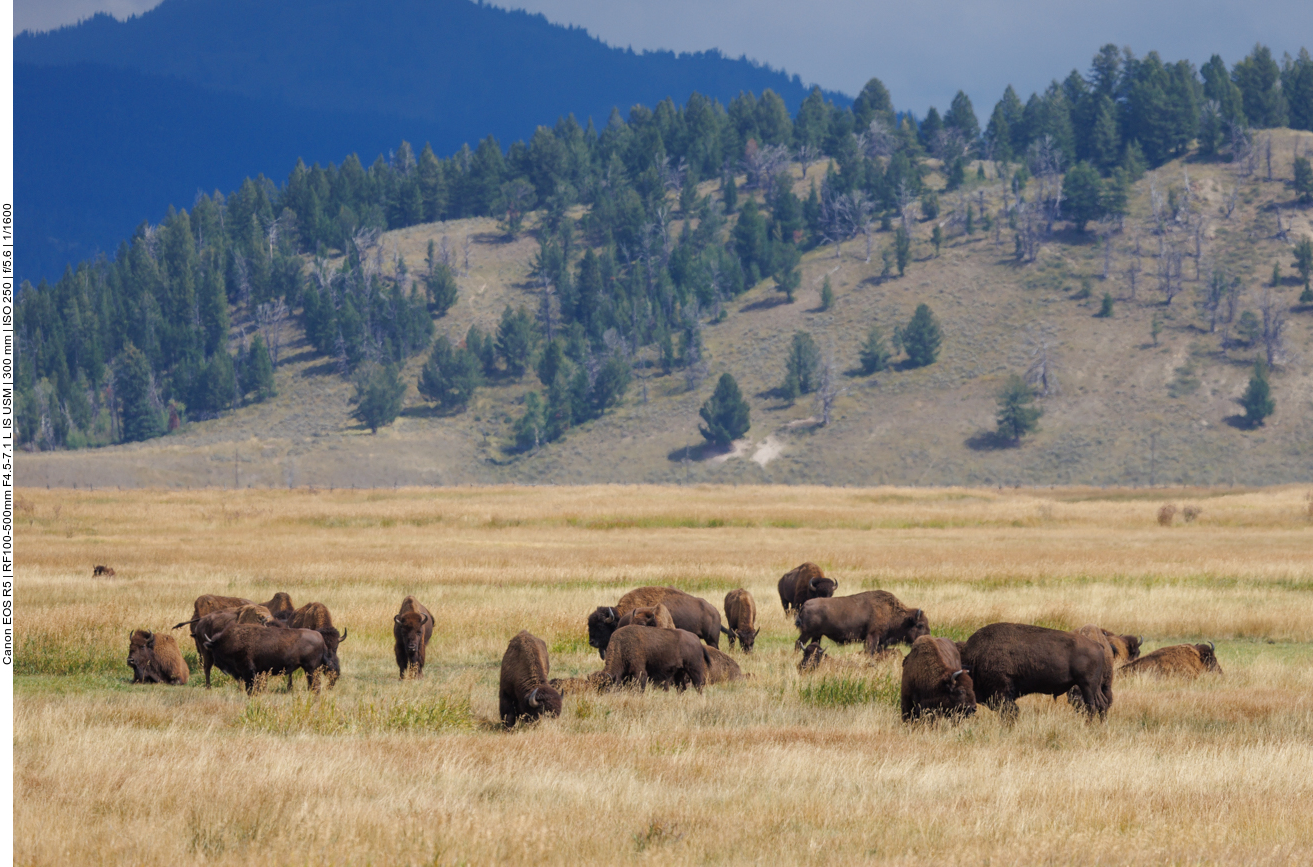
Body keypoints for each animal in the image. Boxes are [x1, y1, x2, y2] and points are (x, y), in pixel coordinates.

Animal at [203, 625, 336, 693]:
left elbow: (250, 687)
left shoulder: (248, 671)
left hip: (311, 669)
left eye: (214, 649)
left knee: (315, 685)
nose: (216, 663)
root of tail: (320, 637)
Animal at [793, 593, 929, 654]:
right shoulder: (872, 636)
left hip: (817, 635)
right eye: (920, 625)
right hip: (807, 633)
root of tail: (805, 605)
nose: (927, 637)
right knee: (797, 644)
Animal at [961, 620, 1113, 719]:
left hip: (1088, 685)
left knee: (1093, 705)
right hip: (1093, 686)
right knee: (1102, 704)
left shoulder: (1002, 694)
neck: (975, 656)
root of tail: (1098, 644)